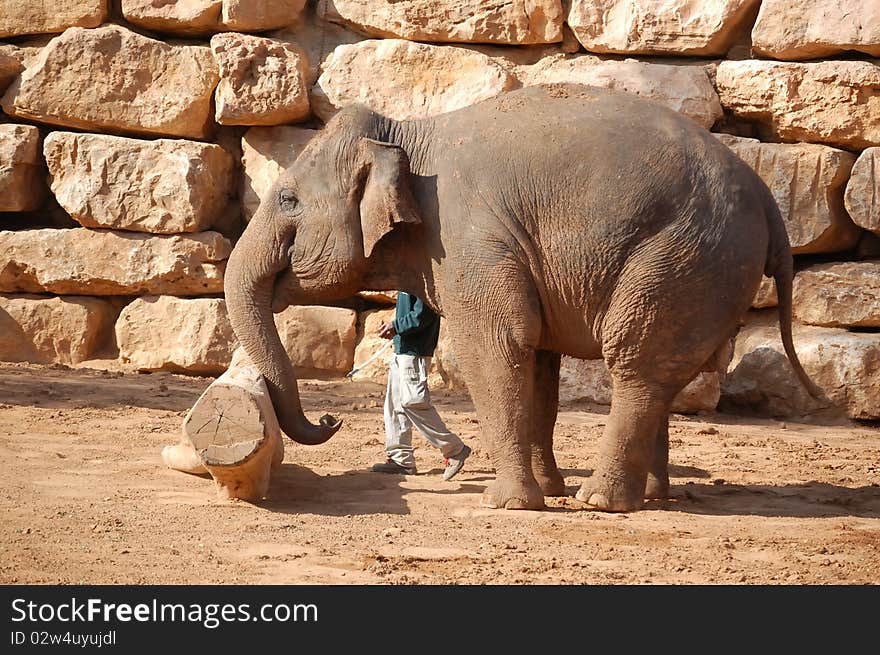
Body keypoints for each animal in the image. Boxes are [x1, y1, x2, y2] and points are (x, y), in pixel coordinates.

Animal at [223, 82, 820, 512]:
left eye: (288, 199)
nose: (331, 420)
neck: (408, 134)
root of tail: (769, 199)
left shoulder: (465, 237)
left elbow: (498, 346)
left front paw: (509, 504)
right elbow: (537, 362)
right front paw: (545, 492)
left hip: (687, 257)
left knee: (636, 362)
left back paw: (602, 503)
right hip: (707, 268)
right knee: (662, 372)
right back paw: (648, 497)